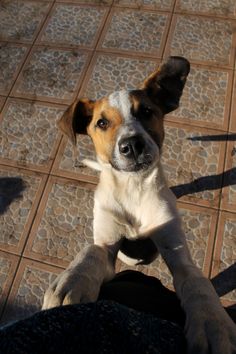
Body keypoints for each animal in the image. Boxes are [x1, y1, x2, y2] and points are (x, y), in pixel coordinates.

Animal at [42, 56, 236, 352]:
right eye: (101, 123)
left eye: (146, 111)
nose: (132, 145)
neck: (132, 188)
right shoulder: (106, 242)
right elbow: (90, 252)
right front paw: (69, 283)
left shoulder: (176, 250)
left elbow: (196, 281)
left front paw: (212, 322)